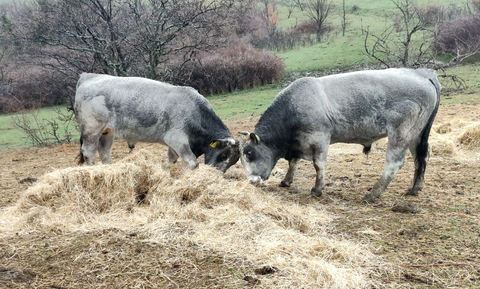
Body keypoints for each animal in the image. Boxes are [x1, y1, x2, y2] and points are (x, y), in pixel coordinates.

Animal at [75, 72, 240, 171]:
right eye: (224, 155)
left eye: (233, 161)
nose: (217, 173)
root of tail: (88, 76)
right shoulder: (177, 139)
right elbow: (193, 163)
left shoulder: (174, 144)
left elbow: (171, 159)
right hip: (91, 130)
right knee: (89, 152)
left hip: (107, 132)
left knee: (104, 152)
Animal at [238, 68, 440, 201]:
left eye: (249, 153)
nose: (251, 181)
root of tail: (422, 73)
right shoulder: (299, 143)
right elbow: (293, 163)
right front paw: (287, 181)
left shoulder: (320, 139)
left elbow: (318, 165)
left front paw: (317, 189)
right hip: (416, 135)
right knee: (421, 157)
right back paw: (415, 187)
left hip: (401, 133)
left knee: (394, 163)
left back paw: (373, 193)